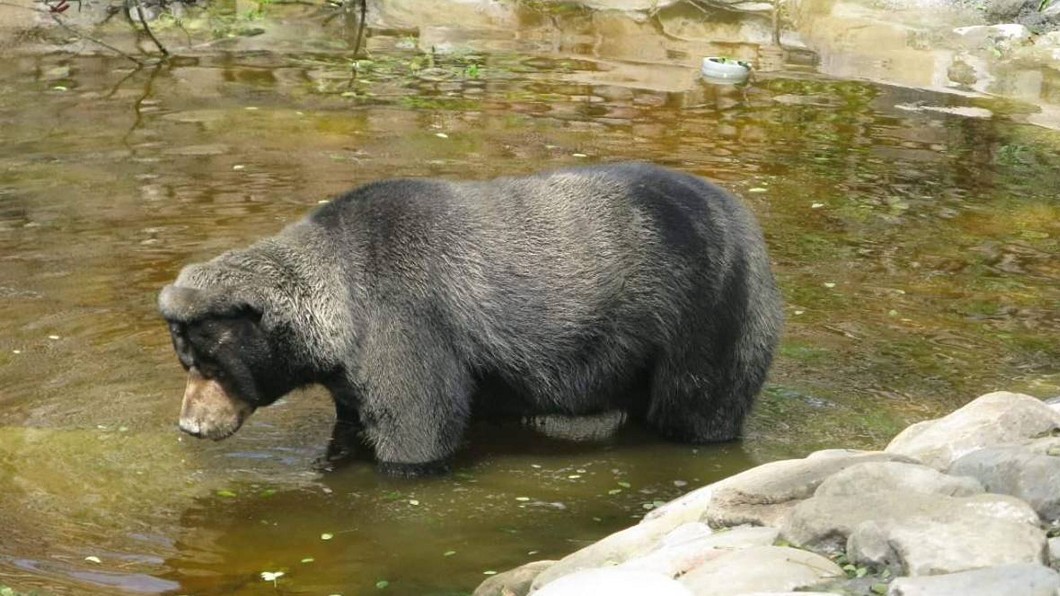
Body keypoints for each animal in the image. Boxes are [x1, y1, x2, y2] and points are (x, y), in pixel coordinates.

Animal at [158, 162, 783, 477]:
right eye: (187, 361)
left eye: (210, 364)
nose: (191, 425)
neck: (338, 321)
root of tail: (747, 218)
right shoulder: (352, 368)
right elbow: (354, 418)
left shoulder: (404, 324)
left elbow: (417, 426)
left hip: (705, 314)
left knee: (698, 406)